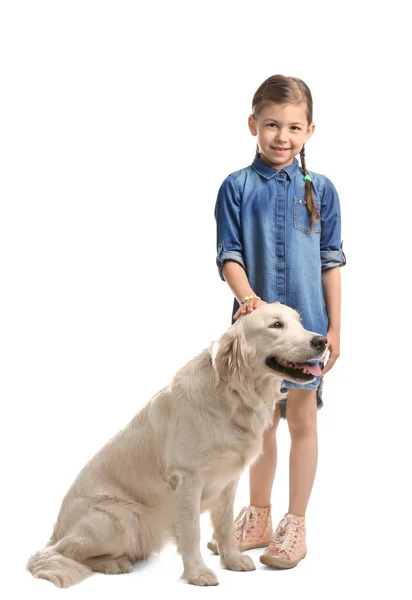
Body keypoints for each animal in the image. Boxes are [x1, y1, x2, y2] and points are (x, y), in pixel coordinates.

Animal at [27, 300, 326, 584]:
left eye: (299, 323)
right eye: (276, 325)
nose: (322, 341)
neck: (234, 395)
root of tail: (56, 533)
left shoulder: (229, 480)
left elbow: (225, 524)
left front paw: (231, 559)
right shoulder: (187, 480)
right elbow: (192, 532)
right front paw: (198, 574)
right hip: (121, 518)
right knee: (66, 551)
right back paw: (114, 563)